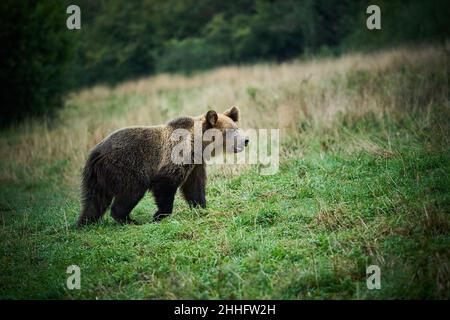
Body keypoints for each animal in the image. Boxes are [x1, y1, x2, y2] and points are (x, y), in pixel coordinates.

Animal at [76, 106, 246, 226]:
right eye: (230, 131)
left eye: (236, 128)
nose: (246, 140)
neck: (198, 145)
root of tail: (95, 153)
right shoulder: (174, 158)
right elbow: (165, 185)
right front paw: (159, 215)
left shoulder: (195, 165)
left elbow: (194, 187)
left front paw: (201, 207)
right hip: (125, 166)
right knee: (131, 190)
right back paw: (129, 220)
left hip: (98, 177)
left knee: (95, 200)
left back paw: (84, 222)